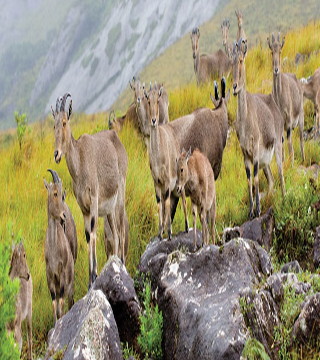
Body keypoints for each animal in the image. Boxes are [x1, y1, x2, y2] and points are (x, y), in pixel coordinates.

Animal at [52, 93, 128, 290]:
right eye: (53, 124)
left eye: (64, 122)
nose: (56, 154)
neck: (80, 162)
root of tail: (116, 138)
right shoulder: (84, 208)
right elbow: (87, 236)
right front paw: (90, 279)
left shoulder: (93, 201)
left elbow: (93, 234)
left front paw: (94, 276)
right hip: (109, 210)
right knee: (115, 234)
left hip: (120, 196)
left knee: (121, 230)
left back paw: (122, 263)